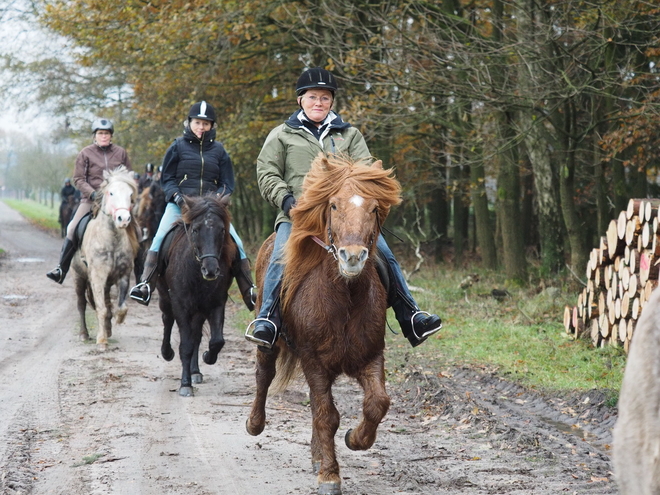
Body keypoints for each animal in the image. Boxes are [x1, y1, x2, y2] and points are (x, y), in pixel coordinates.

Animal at [72, 168, 139, 352]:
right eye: (111, 193)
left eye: (130, 194)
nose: (123, 219)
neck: (112, 239)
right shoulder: (98, 277)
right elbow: (100, 308)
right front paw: (101, 341)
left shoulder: (123, 276)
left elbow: (121, 307)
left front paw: (118, 320)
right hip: (78, 277)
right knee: (81, 304)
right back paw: (84, 334)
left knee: (107, 302)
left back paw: (108, 328)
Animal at [156, 192, 236, 398]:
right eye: (196, 230)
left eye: (222, 230)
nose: (211, 270)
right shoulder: (180, 305)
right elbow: (185, 345)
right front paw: (185, 385)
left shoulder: (216, 303)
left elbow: (216, 341)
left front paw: (208, 356)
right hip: (165, 298)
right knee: (167, 320)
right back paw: (167, 352)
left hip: (199, 311)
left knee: (197, 335)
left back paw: (195, 371)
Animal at [248, 153, 402, 494]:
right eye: (332, 205)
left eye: (374, 208)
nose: (352, 257)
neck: (344, 299)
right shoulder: (314, 362)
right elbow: (327, 416)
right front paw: (330, 476)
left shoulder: (371, 357)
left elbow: (377, 403)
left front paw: (355, 439)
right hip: (270, 342)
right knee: (264, 376)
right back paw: (255, 423)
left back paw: (318, 454)